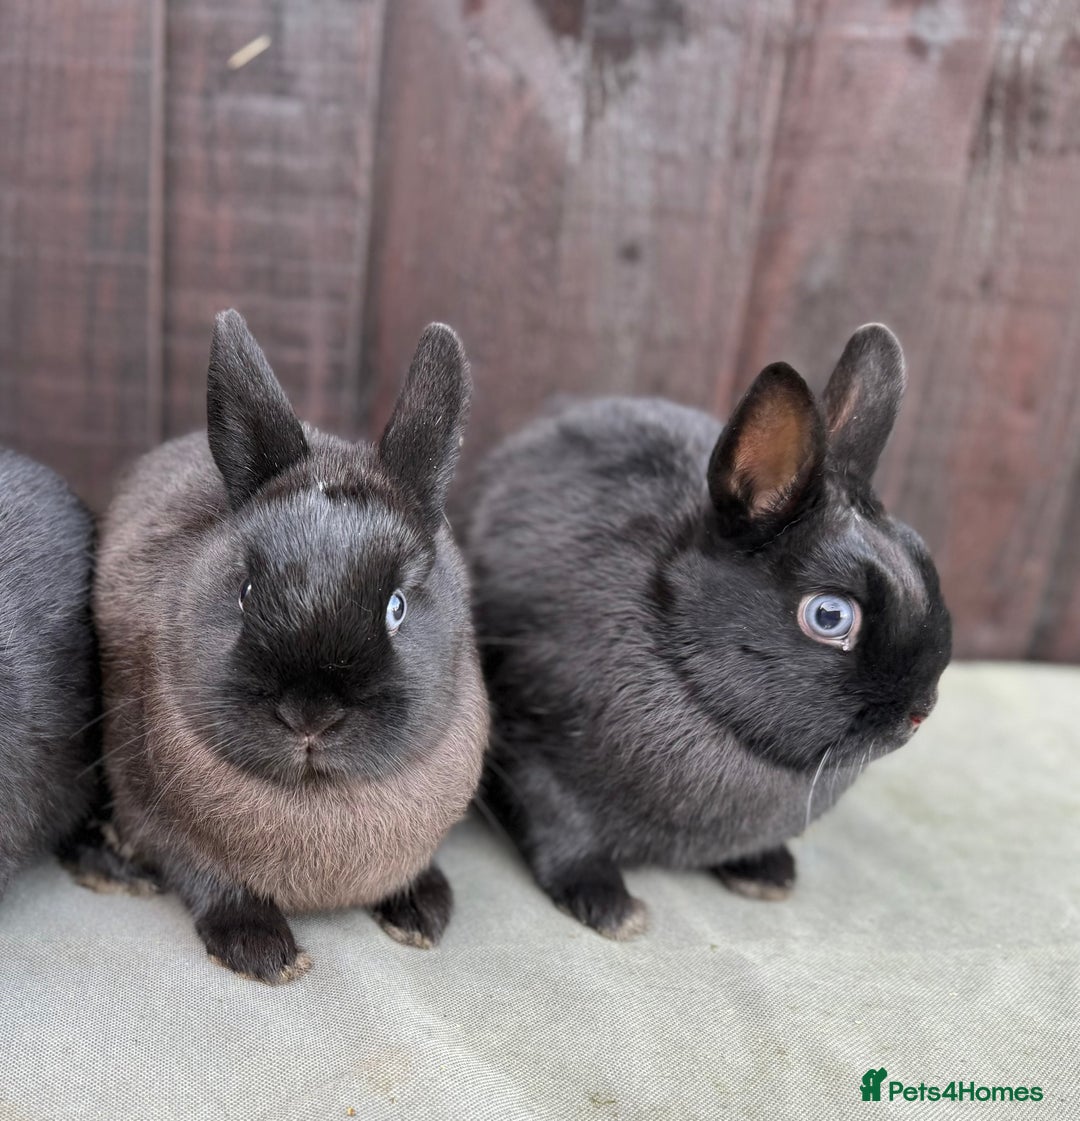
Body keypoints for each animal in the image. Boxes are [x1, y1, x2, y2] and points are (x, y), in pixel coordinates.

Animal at [81, 310, 488, 982]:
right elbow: (206, 877)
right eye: (245, 590)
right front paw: (263, 951)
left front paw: (422, 913)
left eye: (397, 607)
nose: (310, 714)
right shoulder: (154, 813)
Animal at [465, 324, 951, 939]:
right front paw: (612, 908)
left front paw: (767, 875)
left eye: (922, 561)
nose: (919, 712)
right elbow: (559, 834)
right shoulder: (533, 758)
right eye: (829, 616)